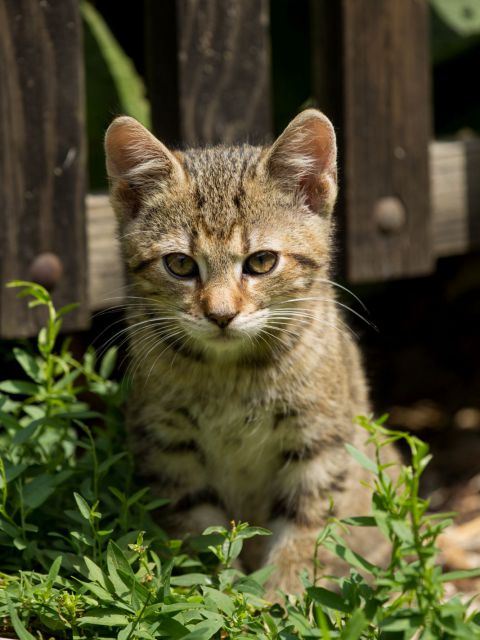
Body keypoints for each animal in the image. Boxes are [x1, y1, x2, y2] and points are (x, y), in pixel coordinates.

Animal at [104, 111, 386, 596]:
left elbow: (306, 535)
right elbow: (201, 536)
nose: (221, 314)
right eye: (180, 264)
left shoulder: (321, 444)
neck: (231, 376)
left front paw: (282, 600)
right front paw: (221, 594)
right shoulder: (170, 452)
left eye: (261, 262)